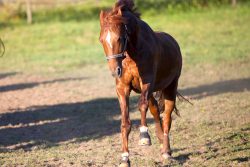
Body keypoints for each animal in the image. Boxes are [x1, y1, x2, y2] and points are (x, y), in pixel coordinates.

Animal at [98, 0, 183, 166]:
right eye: (101, 40)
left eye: (120, 38)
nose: (115, 71)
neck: (133, 54)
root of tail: (174, 42)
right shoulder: (122, 88)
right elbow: (125, 122)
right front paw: (124, 157)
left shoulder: (147, 83)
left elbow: (142, 105)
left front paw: (144, 136)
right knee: (155, 110)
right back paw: (160, 140)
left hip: (171, 87)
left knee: (167, 118)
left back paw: (166, 151)